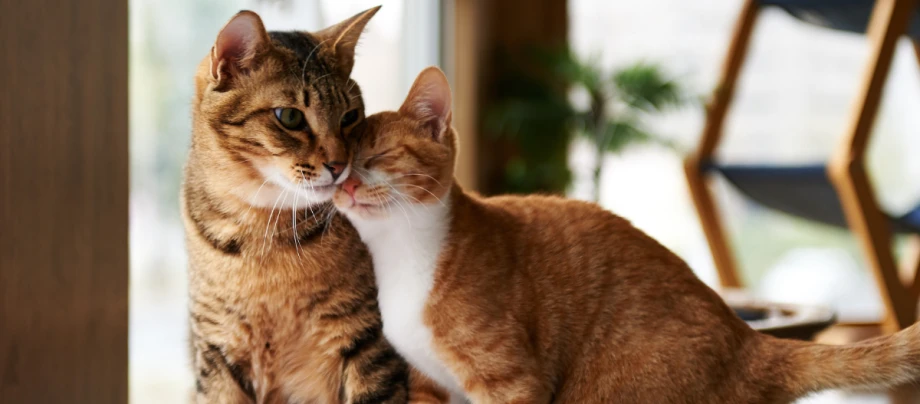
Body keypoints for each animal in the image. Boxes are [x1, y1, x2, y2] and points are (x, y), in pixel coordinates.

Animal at [334, 67, 920, 404]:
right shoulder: (428, 384)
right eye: (338, 162)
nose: (343, 180)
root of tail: (747, 338)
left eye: (375, 157)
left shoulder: (512, 382)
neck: (403, 255)